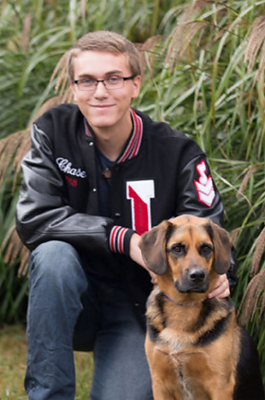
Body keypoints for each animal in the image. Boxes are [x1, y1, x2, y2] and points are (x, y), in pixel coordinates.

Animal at [139, 216, 262, 400]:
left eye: (206, 248)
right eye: (177, 248)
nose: (197, 276)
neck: (185, 307)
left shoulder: (221, 385)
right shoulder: (160, 383)